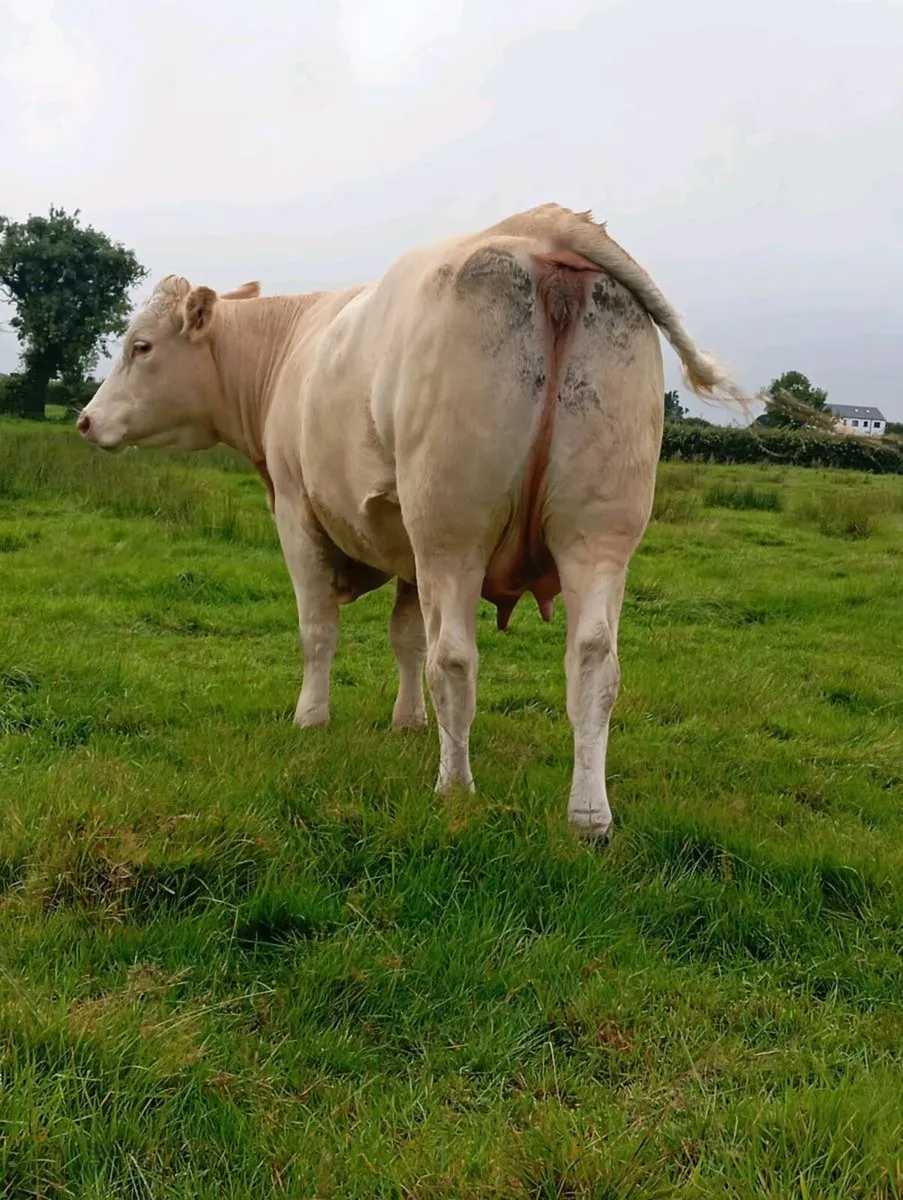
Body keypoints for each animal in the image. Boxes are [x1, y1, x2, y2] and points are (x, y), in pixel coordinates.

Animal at [77, 203, 751, 840]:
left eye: (141, 346)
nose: (85, 420)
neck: (291, 345)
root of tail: (542, 229)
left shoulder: (298, 513)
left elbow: (319, 630)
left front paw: (311, 718)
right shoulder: (404, 545)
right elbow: (406, 637)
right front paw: (408, 721)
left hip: (451, 532)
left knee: (455, 659)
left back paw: (454, 788)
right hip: (597, 535)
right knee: (593, 663)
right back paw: (589, 817)